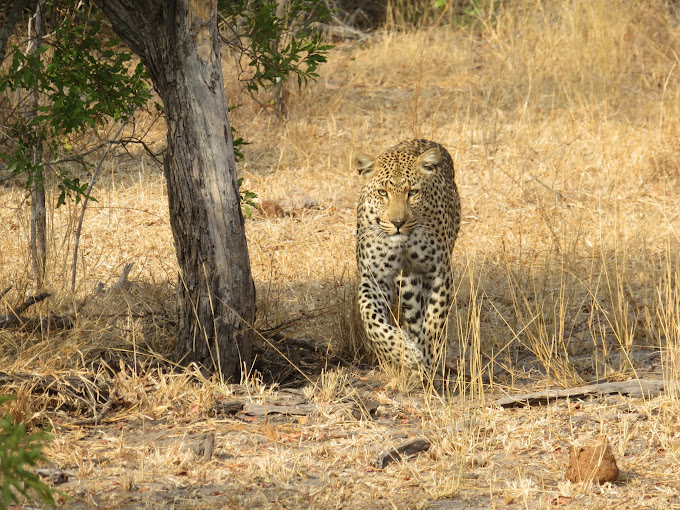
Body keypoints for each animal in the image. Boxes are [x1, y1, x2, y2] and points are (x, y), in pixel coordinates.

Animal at [356, 139, 462, 374]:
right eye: (382, 192)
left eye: (413, 192)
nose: (398, 222)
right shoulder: (374, 276)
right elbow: (370, 317)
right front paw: (404, 353)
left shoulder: (440, 272)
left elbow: (434, 321)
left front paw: (427, 358)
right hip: (407, 283)